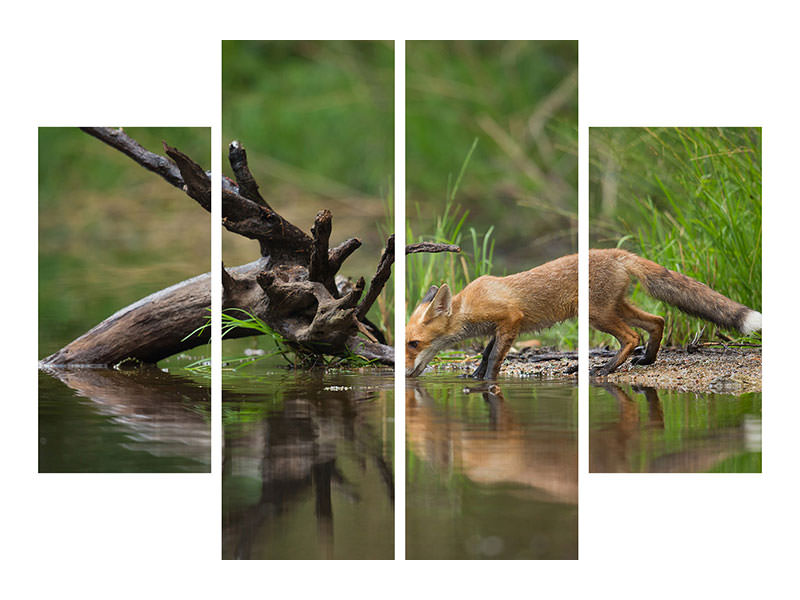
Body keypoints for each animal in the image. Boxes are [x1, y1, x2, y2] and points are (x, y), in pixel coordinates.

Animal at [405, 248, 761, 379]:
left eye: (413, 344)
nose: (405, 374)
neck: (469, 305)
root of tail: (616, 253)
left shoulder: (511, 320)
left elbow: (494, 358)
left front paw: (487, 381)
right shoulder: (499, 328)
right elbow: (485, 354)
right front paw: (476, 376)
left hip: (596, 315)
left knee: (631, 335)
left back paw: (603, 369)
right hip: (614, 308)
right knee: (657, 321)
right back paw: (646, 360)